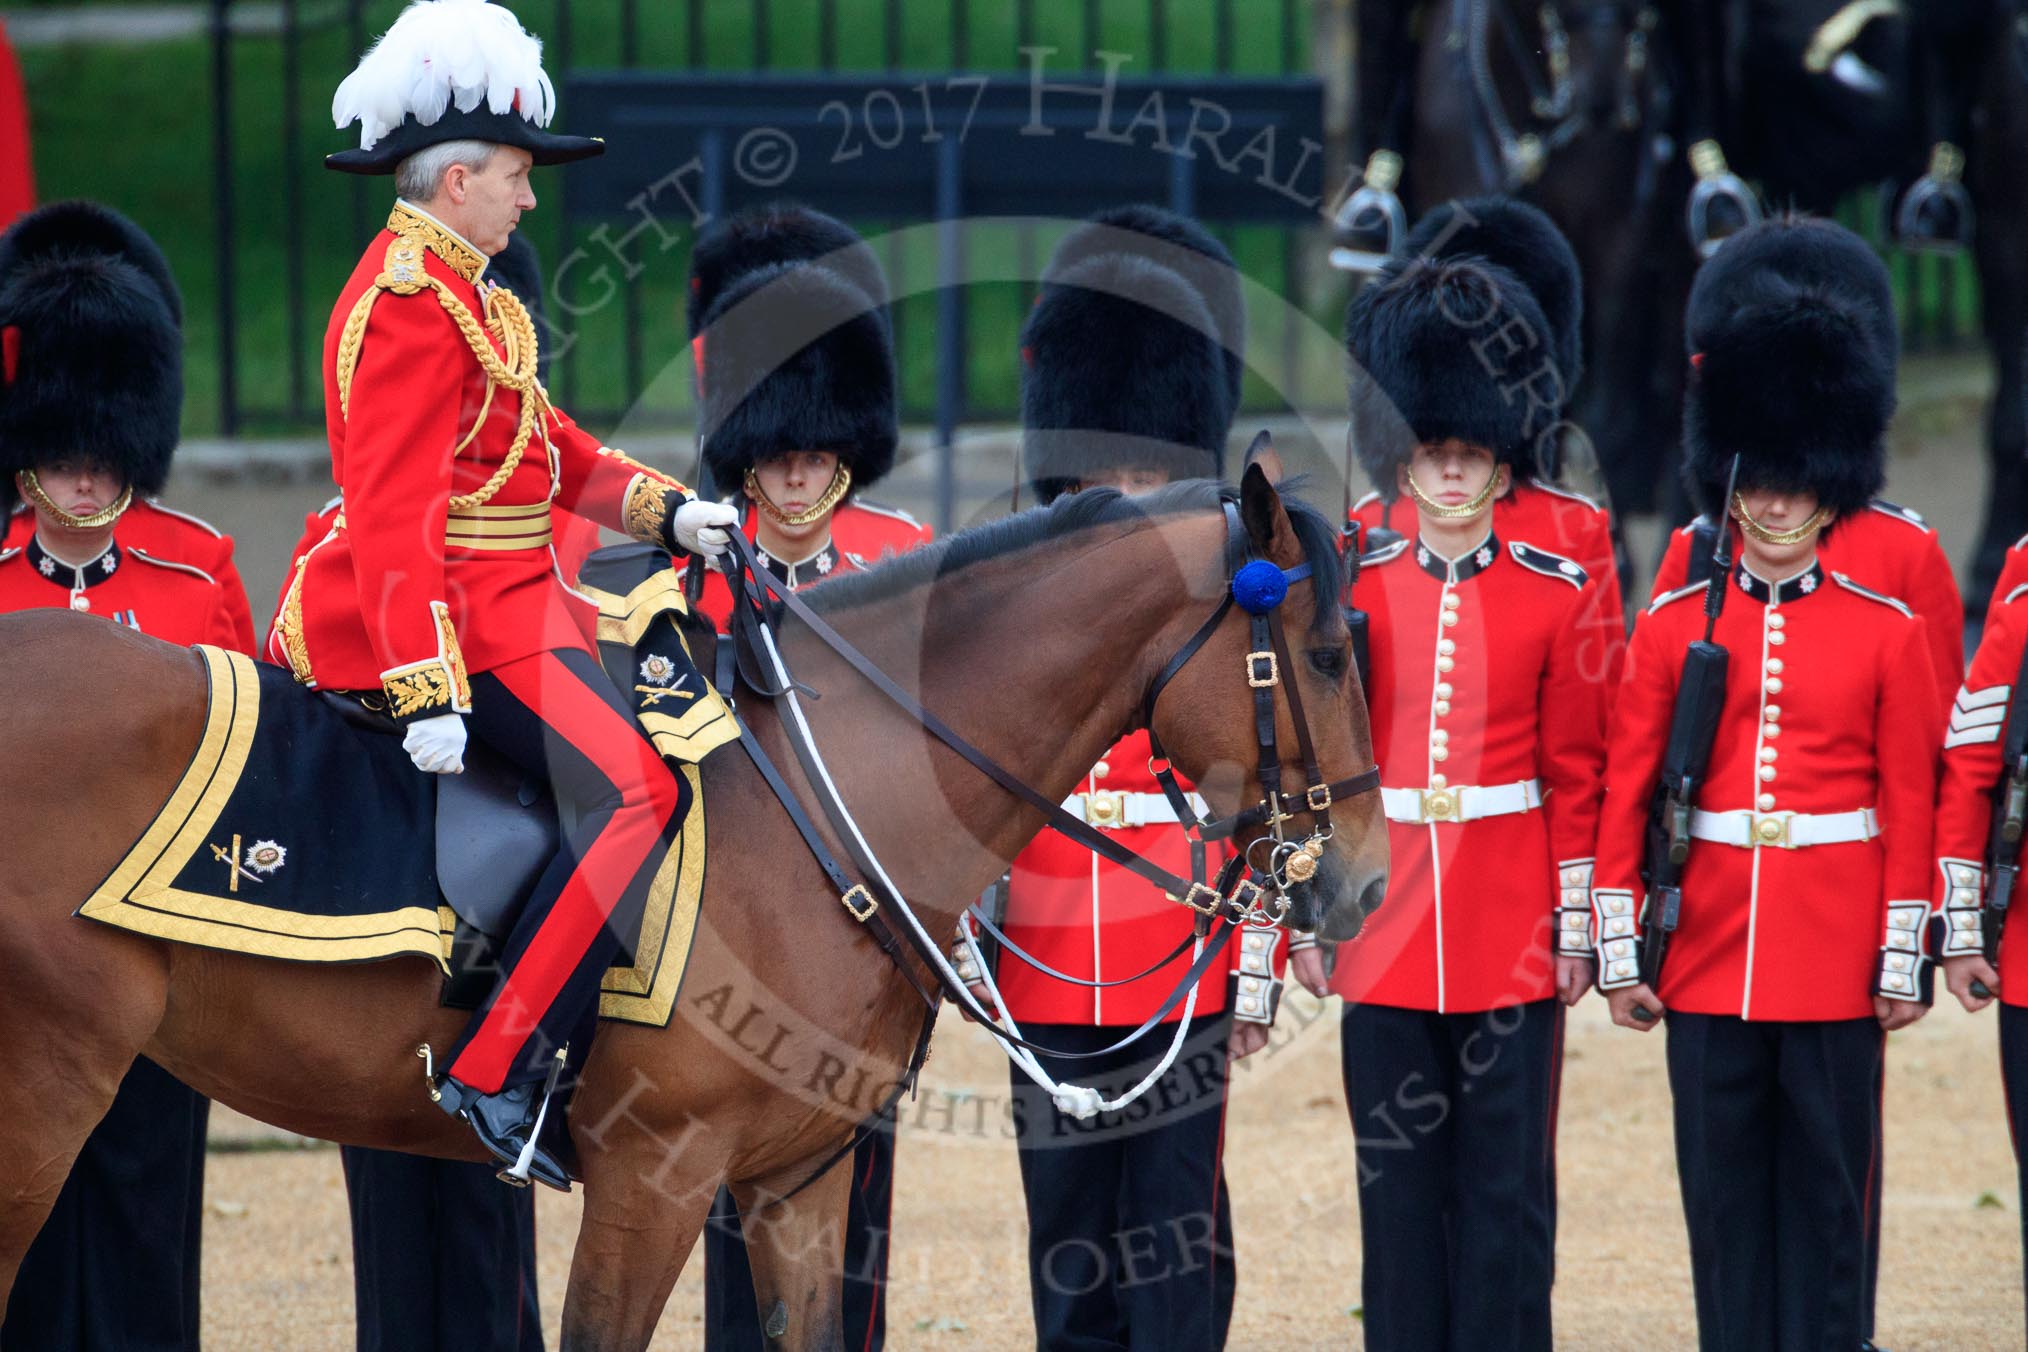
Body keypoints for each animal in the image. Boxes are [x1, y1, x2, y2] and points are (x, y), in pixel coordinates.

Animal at [0, 471, 1387, 1351]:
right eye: (1327, 652)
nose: (1368, 882)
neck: (830, 792)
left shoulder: (797, 1184)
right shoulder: (650, 1180)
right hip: (48, 1088)